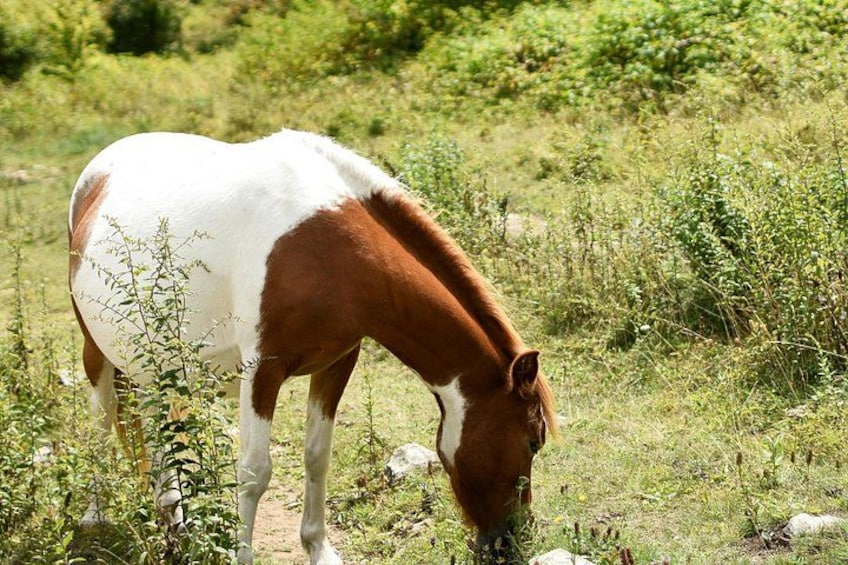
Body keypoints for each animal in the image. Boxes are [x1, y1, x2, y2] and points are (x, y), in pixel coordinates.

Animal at [68, 129, 557, 564]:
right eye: (533, 441)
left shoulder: (337, 363)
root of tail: (97, 172)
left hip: (152, 364)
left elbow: (317, 457)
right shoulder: (262, 370)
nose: (511, 541)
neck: (333, 254)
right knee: (102, 416)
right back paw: (96, 518)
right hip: (97, 349)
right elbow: (253, 472)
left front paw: (319, 549)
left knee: (154, 429)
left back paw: (173, 518)